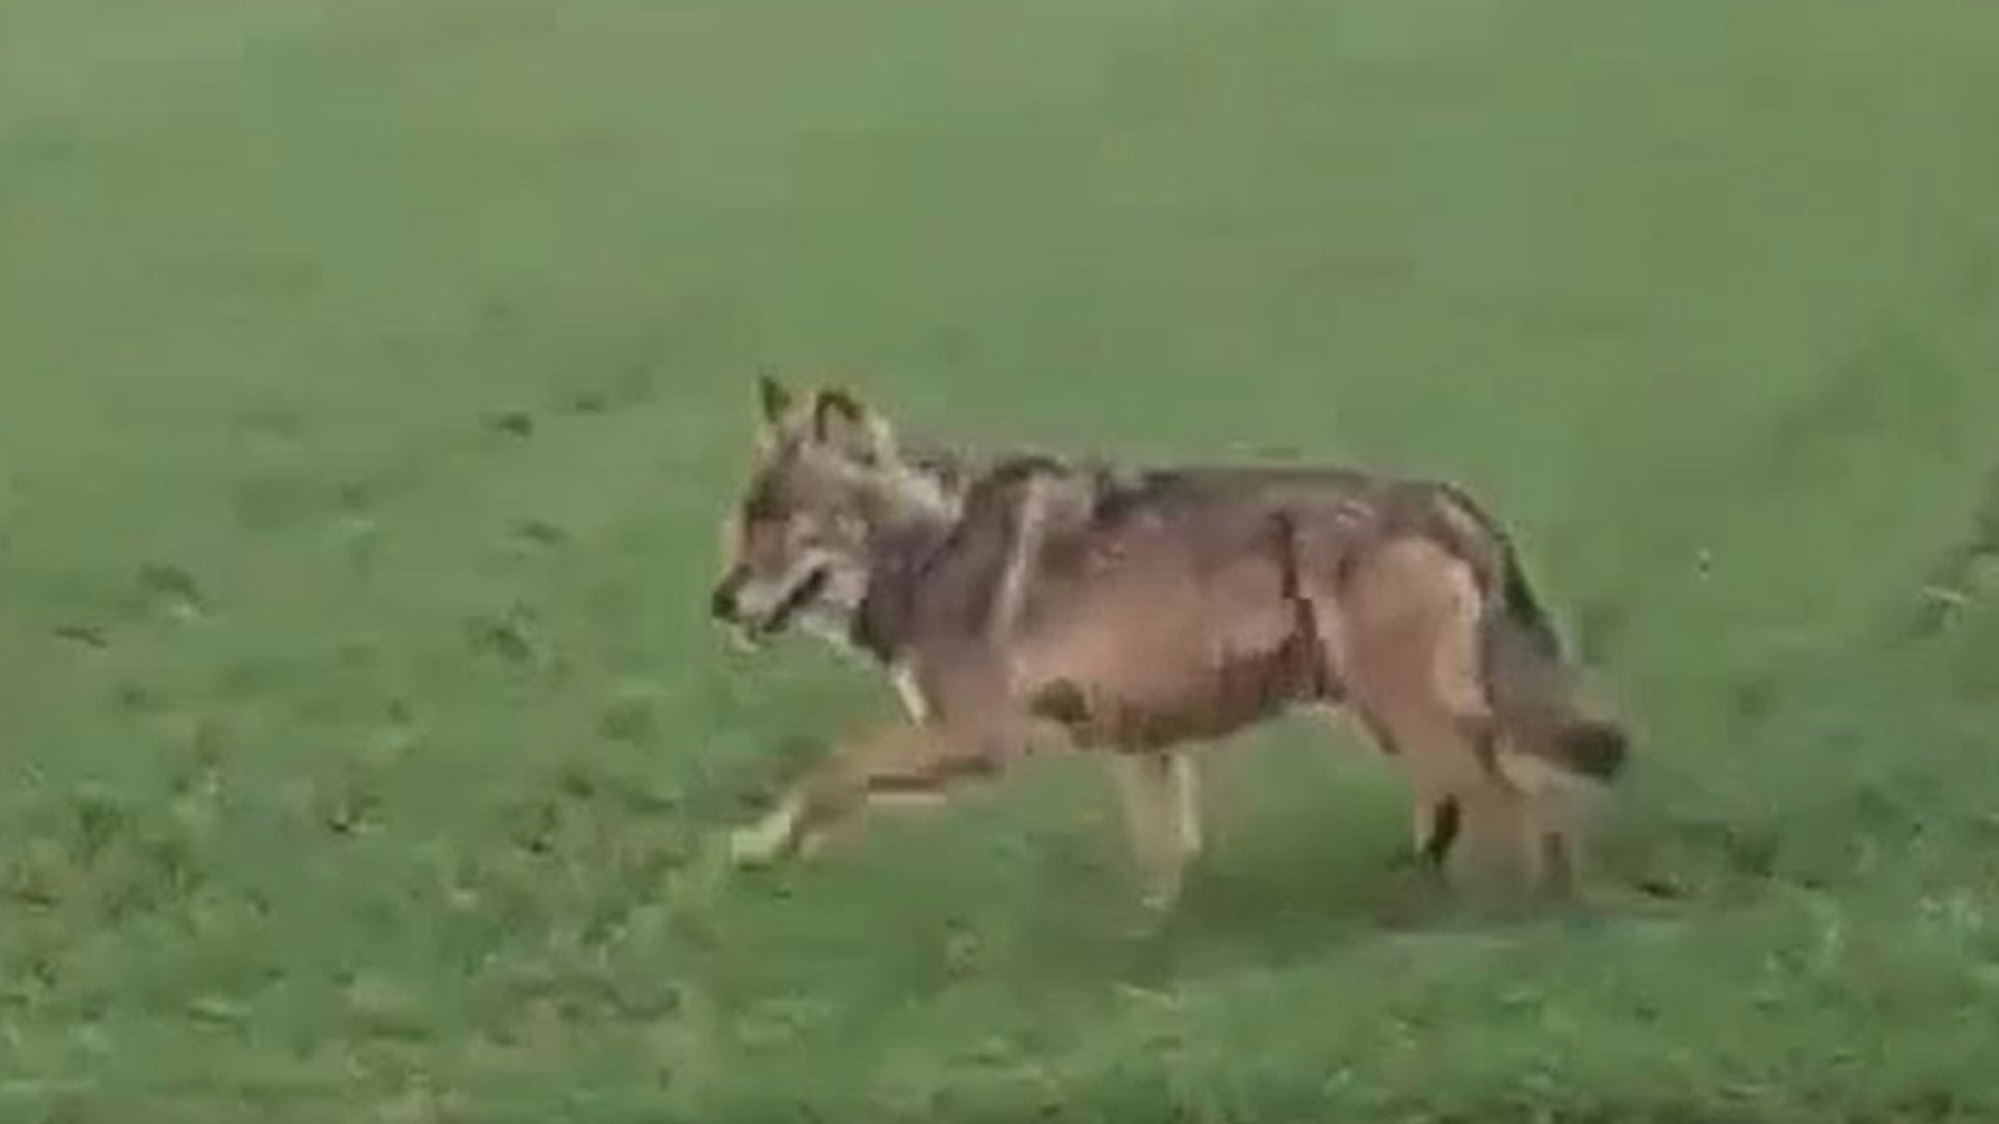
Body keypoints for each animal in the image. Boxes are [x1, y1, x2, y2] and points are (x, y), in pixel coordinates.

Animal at [708, 376, 1628, 908]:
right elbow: (1165, 861)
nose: (717, 604)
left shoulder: (973, 736)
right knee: (1504, 798)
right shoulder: (1139, 742)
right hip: (1406, 715)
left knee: (1513, 802)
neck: (927, 542)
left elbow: (829, 773)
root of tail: (1445, 500)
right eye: (747, 517)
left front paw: (754, 848)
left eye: (781, 522)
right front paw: (1153, 943)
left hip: (1408, 711)